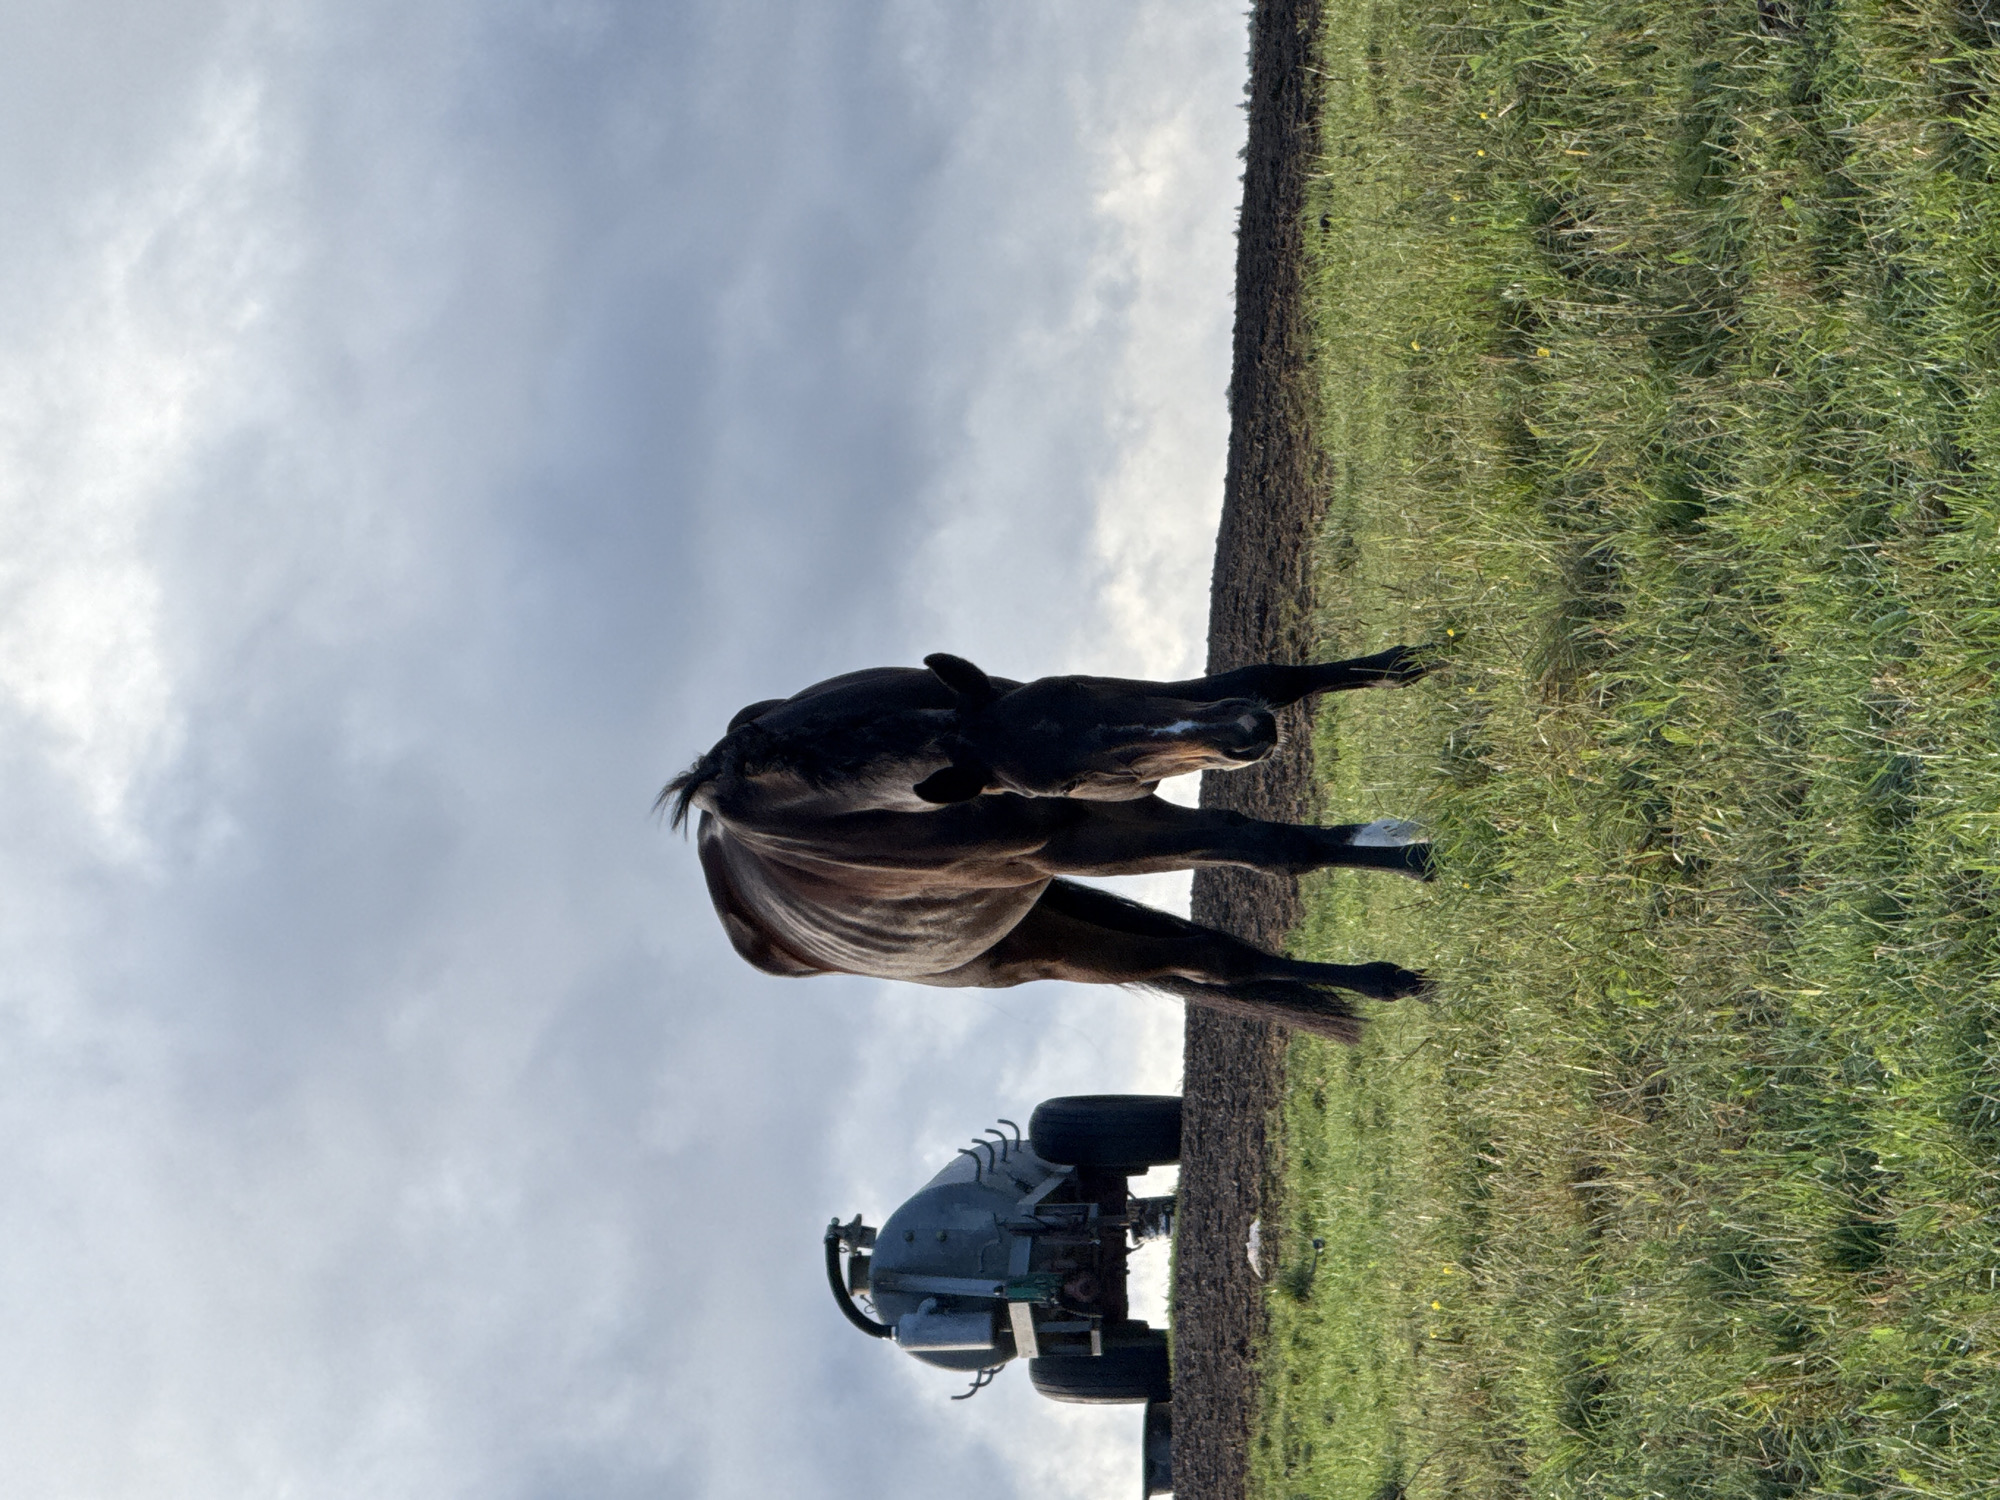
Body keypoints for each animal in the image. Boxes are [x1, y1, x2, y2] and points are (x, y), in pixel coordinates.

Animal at [661, 647, 1435, 1041]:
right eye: (1061, 779)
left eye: (1081, 686)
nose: (1247, 733)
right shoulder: (1096, 837)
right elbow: (1276, 850)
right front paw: (1413, 860)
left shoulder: (1133, 779)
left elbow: (1261, 678)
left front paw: (1400, 664)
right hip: (1040, 952)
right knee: (1214, 964)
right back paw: (1386, 981)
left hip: (1042, 903)